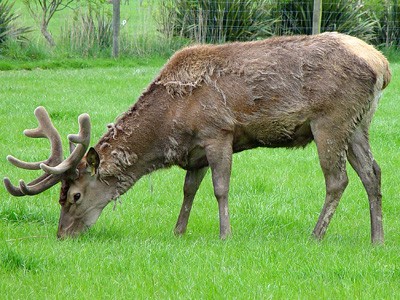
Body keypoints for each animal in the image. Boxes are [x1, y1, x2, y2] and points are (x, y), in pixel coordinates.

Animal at [3, 32, 390, 243]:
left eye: (75, 195)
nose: (62, 235)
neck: (170, 124)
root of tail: (382, 65)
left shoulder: (218, 131)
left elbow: (220, 188)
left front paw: (225, 234)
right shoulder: (194, 152)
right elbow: (188, 190)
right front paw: (178, 232)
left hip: (330, 119)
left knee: (338, 179)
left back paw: (316, 235)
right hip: (359, 123)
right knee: (373, 172)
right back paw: (377, 239)